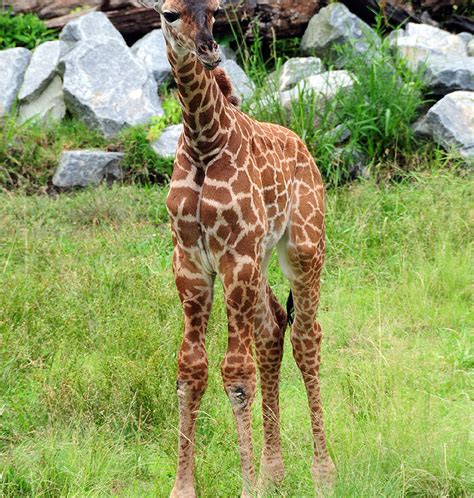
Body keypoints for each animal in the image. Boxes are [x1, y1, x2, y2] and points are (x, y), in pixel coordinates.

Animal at [152, 1, 334, 496]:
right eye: (169, 13)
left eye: (215, 9)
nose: (209, 50)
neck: (203, 143)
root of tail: (303, 146)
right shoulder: (191, 262)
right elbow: (190, 370)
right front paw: (183, 487)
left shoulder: (236, 257)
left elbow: (235, 375)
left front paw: (247, 486)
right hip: (261, 259)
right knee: (272, 326)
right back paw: (276, 472)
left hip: (304, 247)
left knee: (306, 336)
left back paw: (323, 472)